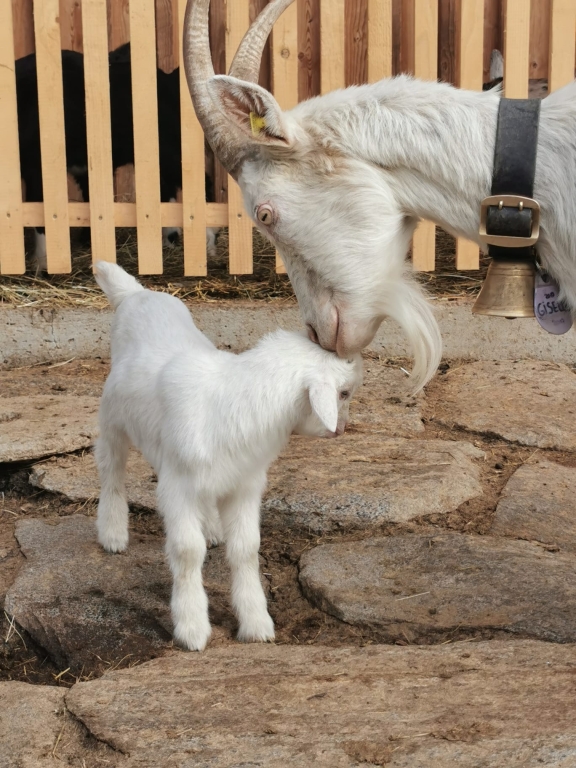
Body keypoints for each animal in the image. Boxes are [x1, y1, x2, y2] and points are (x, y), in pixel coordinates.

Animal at [15, 43, 219, 272]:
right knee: (166, 190)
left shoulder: (37, 169)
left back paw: (208, 245)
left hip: (171, 152)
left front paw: (43, 264)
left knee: (201, 183)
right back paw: (170, 241)